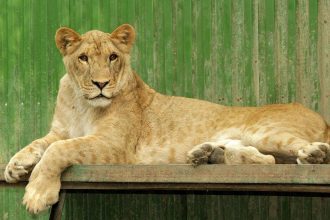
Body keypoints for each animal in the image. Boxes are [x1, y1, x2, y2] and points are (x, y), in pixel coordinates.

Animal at [3, 23, 330, 213]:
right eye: (83, 58)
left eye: (112, 57)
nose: (101, 84)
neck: (82, 103)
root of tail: (321, 118)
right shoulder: (59, 130)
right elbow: (38, 143)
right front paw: (15, 165)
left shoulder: (114, 146)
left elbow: (60, 150)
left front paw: (37, 193)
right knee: (267, 160)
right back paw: (207, 154)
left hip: (264, 130)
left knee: (291, 154)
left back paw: (314, 154)